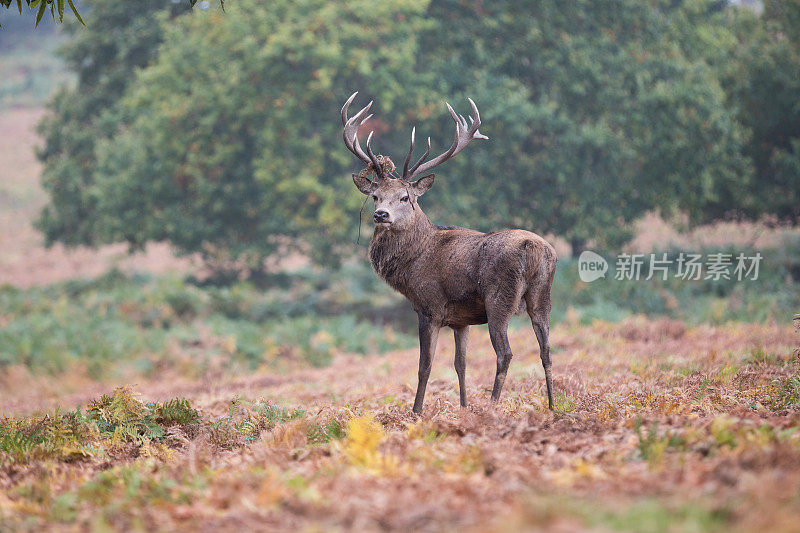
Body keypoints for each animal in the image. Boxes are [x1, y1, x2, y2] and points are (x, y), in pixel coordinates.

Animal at [340, 93, 560, 414]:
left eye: (405, 198)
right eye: (375, 196)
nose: (381, 215)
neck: (414, 262)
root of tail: (535, 250)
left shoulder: (429, 307)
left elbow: (425, 365)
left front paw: (417, 412)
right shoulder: (461, 320)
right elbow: (460, 364)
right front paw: (463, 407)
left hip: (499, 298)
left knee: (505, 353)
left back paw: (493, 405)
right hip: (543, 297)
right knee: (546, 349)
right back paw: (553, 407)